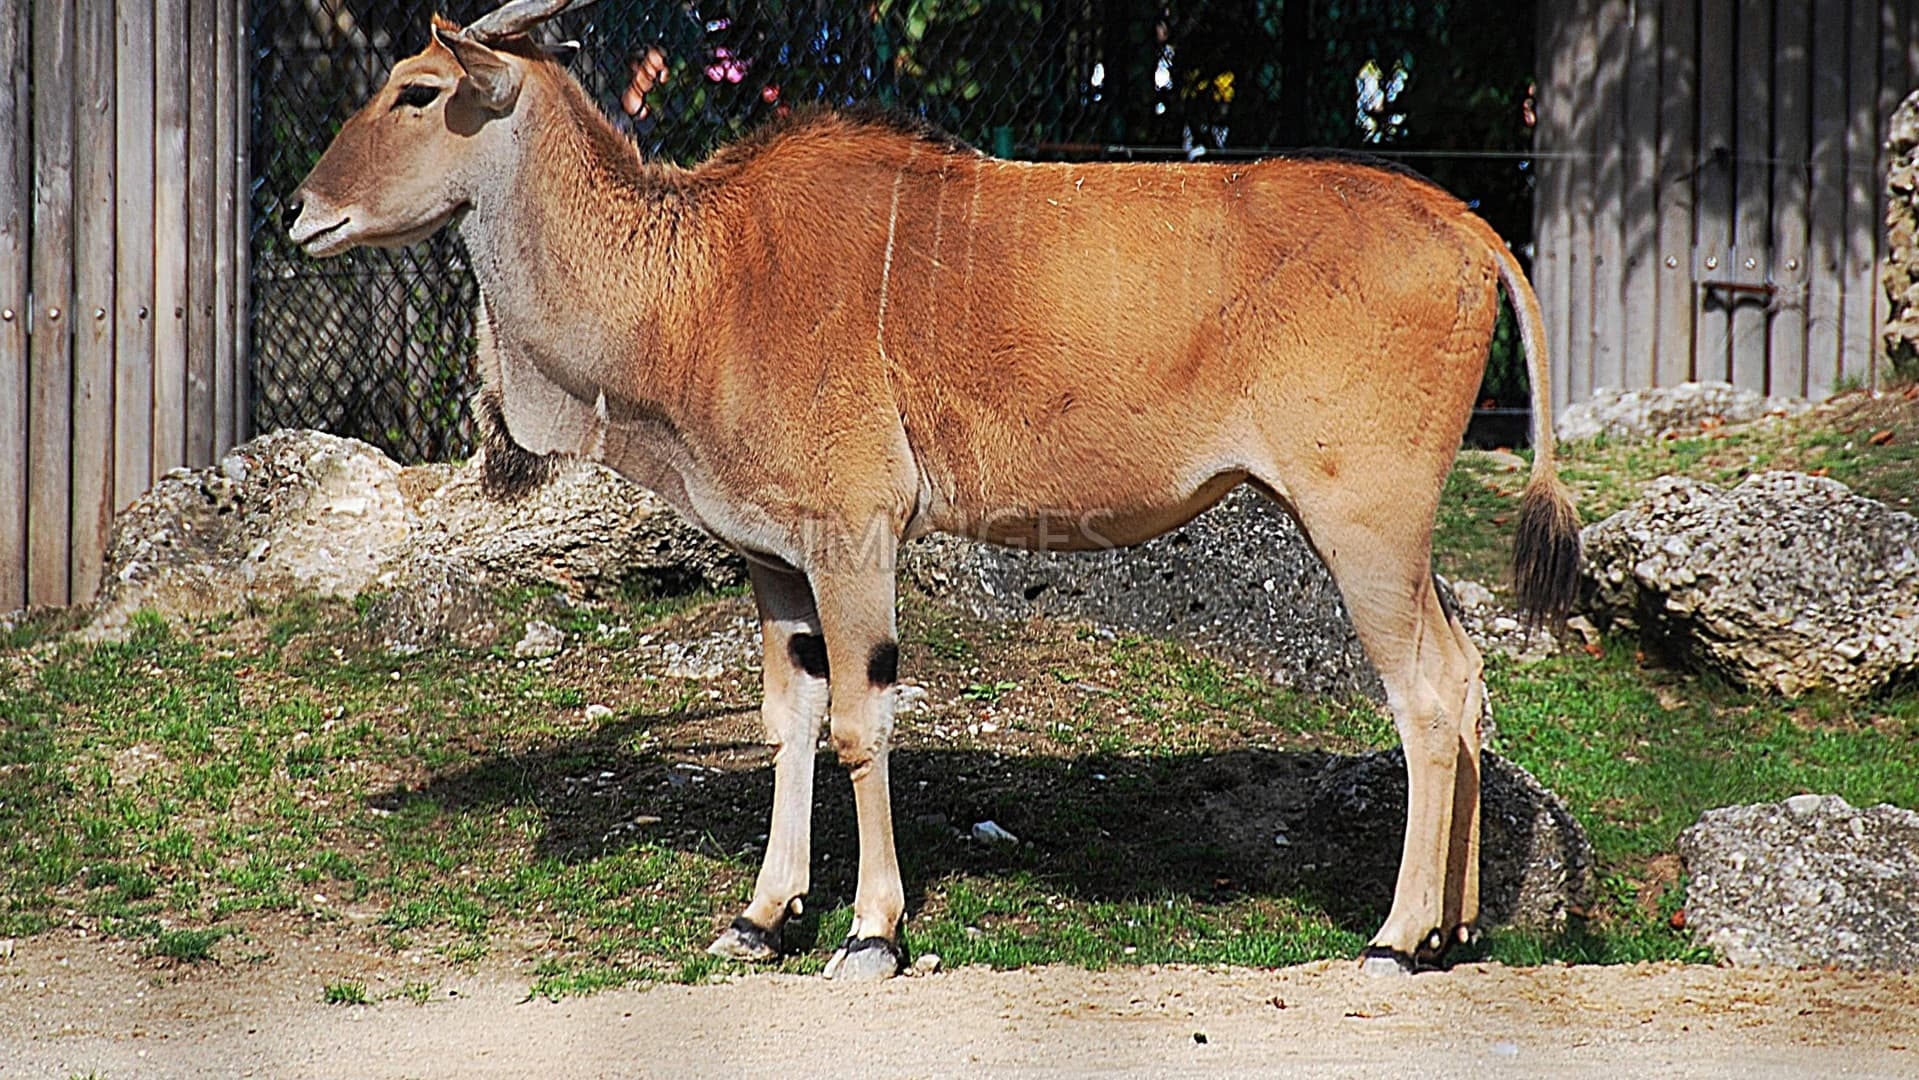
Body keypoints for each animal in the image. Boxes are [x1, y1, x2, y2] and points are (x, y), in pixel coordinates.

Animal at [287, 0, 1581, 981]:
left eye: (416, 90)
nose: (300, 212)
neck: (700, 274)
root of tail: (1465, 230)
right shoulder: (775, 561)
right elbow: (790, 720)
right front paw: (760, 918)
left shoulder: (854, 536)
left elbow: (861, 725)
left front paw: (869, 933)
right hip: (1392, 539)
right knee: (1468, 676)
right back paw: (1461, 932)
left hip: (1360, 525)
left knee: (1426, 694)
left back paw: (1397, 940)